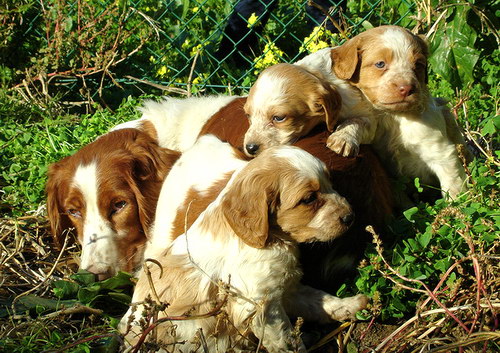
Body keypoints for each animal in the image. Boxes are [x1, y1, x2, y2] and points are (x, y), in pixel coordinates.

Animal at [120, 135, 368, 352]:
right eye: (309, 199)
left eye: (331, 184)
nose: (351, 216)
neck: (272, 240)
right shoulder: (260, 306)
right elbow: (284, 338)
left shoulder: (284, 289)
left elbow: (316, 299)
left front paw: (350, 305)